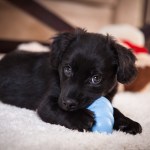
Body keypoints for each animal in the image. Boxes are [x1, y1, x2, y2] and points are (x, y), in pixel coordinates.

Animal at [0, 28, 142, 134]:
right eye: (67, 69)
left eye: (96, 78)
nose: (68, 103)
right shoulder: (45, 104)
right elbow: (57, 109)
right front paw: (80, 117)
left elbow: (115, 110)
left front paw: (128, 122)